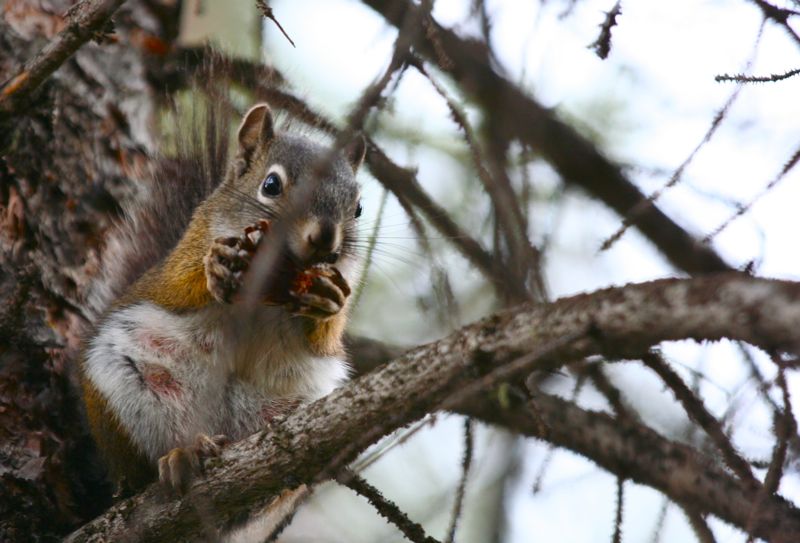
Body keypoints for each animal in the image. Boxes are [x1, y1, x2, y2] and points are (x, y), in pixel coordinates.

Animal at [79, 97, 367, 495]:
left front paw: (328, 298)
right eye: (271, 185)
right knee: (146, 465)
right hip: (128, 387)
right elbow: (179, 284)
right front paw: (216, 268)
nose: (325, 238)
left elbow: (324, 341)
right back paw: (180, 456)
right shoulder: (183, 259)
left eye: (358, 208)